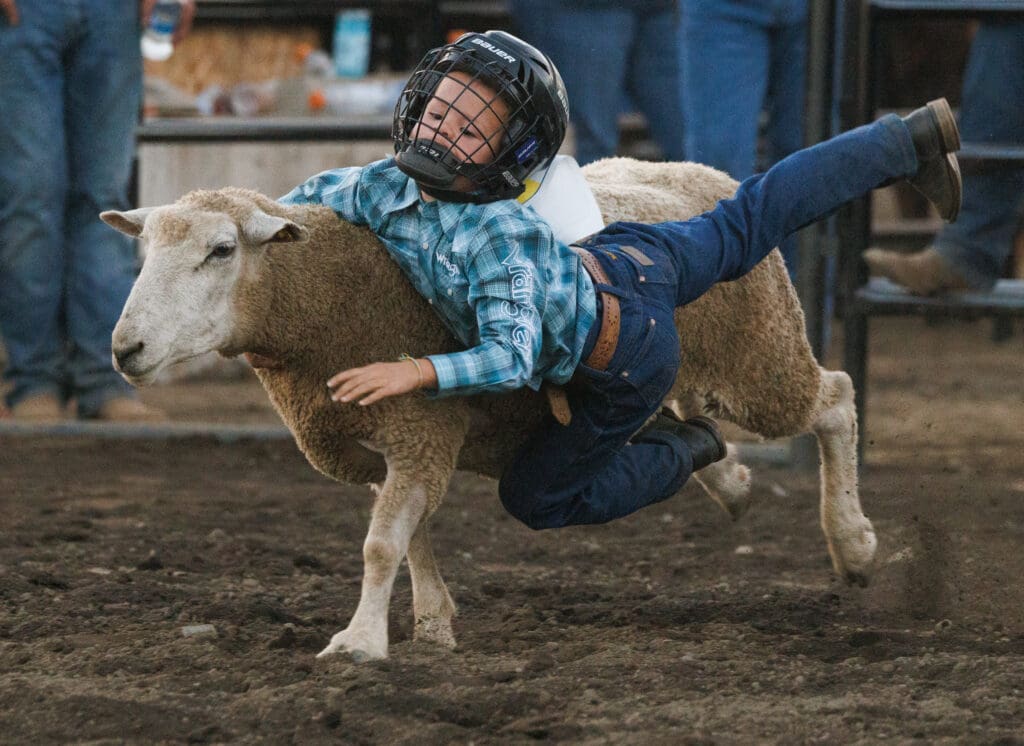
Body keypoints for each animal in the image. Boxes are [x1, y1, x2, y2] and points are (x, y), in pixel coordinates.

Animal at [101, 157, 872, 659]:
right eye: (143, 249)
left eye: (221, 250)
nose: (125, 348)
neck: (325, 302)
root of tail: (708, 172)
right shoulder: (396, 447)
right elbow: (410, 532)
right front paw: (434, 622)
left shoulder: (418, 429)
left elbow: (381, 542)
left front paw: (360, 643)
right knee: (691, 431)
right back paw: (731, 480)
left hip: (759, 356)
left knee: (834, 398)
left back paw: (854, 544)